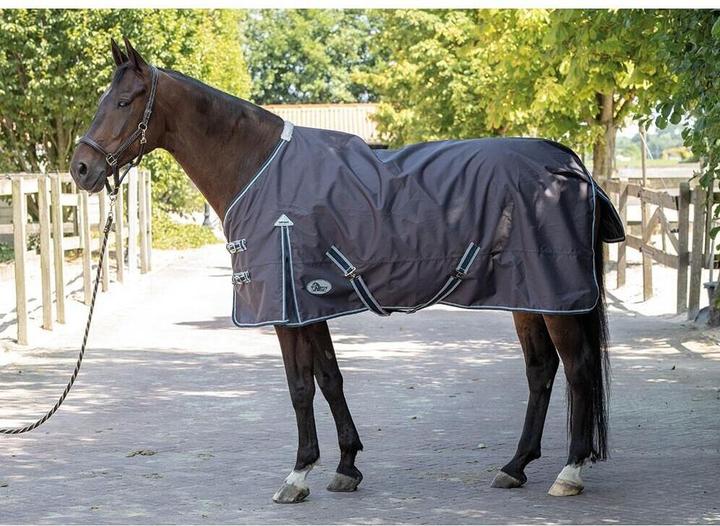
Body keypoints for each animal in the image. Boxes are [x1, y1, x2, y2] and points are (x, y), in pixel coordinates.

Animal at [70, 38, 617, 503]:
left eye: (125, 101)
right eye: (104, 98)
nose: (80, 169)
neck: (258, 167)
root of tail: (571, 165)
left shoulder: (286, 309)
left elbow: (300, 387)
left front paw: (298, 475)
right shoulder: (310, 304)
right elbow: (330, 379)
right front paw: (346, 466)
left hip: (559, 299)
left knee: (578, 369)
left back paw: (569, 472)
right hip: (529, 297)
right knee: (541, 371)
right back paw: (515, 465)